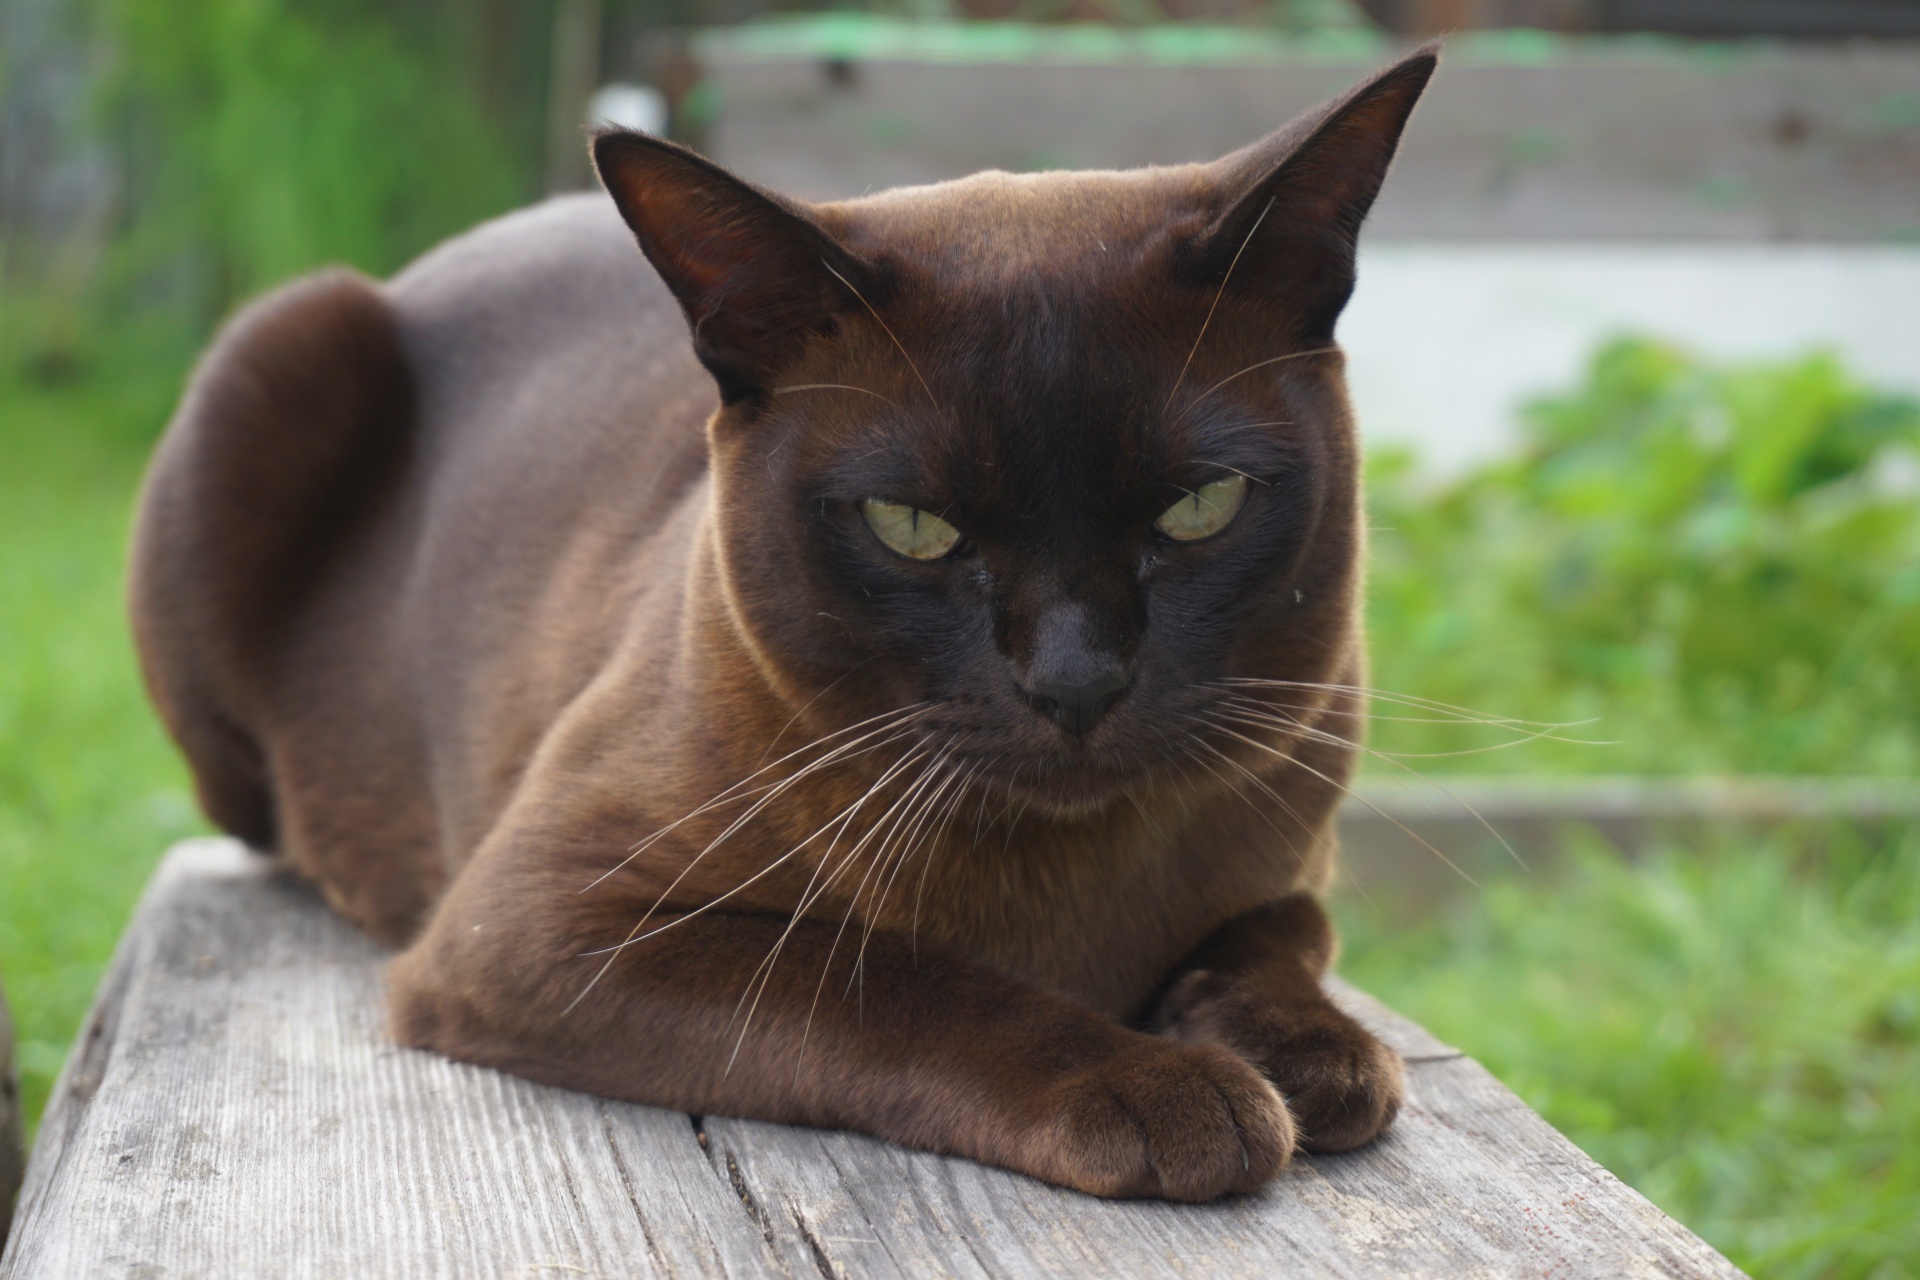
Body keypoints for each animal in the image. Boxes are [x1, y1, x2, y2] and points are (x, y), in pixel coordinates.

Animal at [127, 42, 1436, 1205]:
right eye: (912, 526)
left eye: (1199, 507)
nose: (1076, 682)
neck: (1074, 895)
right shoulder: (545, 921)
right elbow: (893, 981)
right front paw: (1181, 1092)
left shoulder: (1288, 843)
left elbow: (1281, 933)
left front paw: (1314, 1060)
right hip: (269, 372)